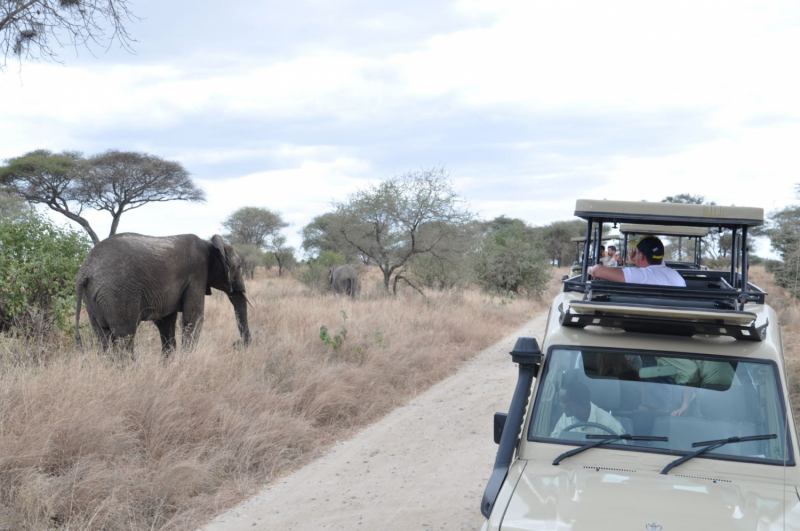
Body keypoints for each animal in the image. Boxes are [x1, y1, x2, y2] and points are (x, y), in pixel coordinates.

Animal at [76, 235, 250, 356]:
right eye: (239, 266)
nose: (237, 344)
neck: (210, 244)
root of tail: (84, 272)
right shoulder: (197, 275)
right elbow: (194, 318)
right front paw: (186, 362)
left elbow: (166, 323)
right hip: (118, 295)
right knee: (125, 336)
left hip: (92, 299)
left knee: (102, 337)